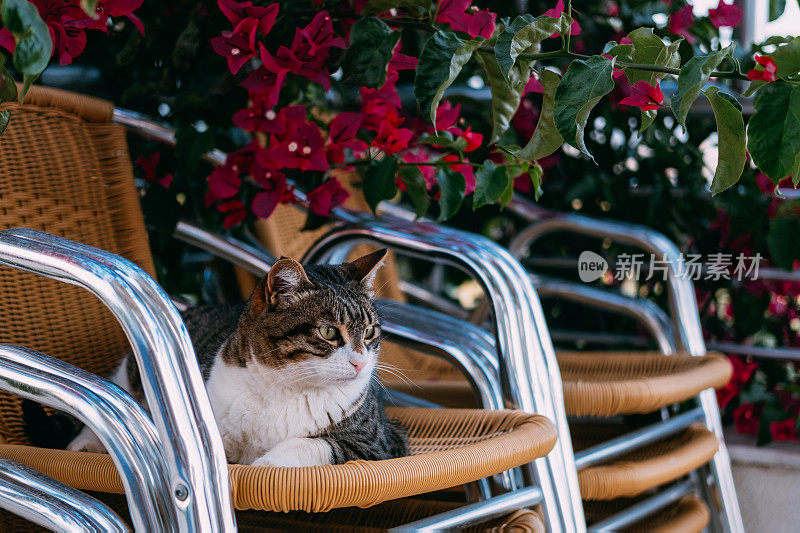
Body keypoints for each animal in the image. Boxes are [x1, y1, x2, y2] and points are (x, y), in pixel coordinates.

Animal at [65, 249, 410, 466]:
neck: (283, 389)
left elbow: (312, 443)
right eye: (328, 332)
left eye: (370, 332)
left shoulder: (379, 444)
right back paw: (85, 442)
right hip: (133, 370)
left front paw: (267, 463)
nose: (361, 362)